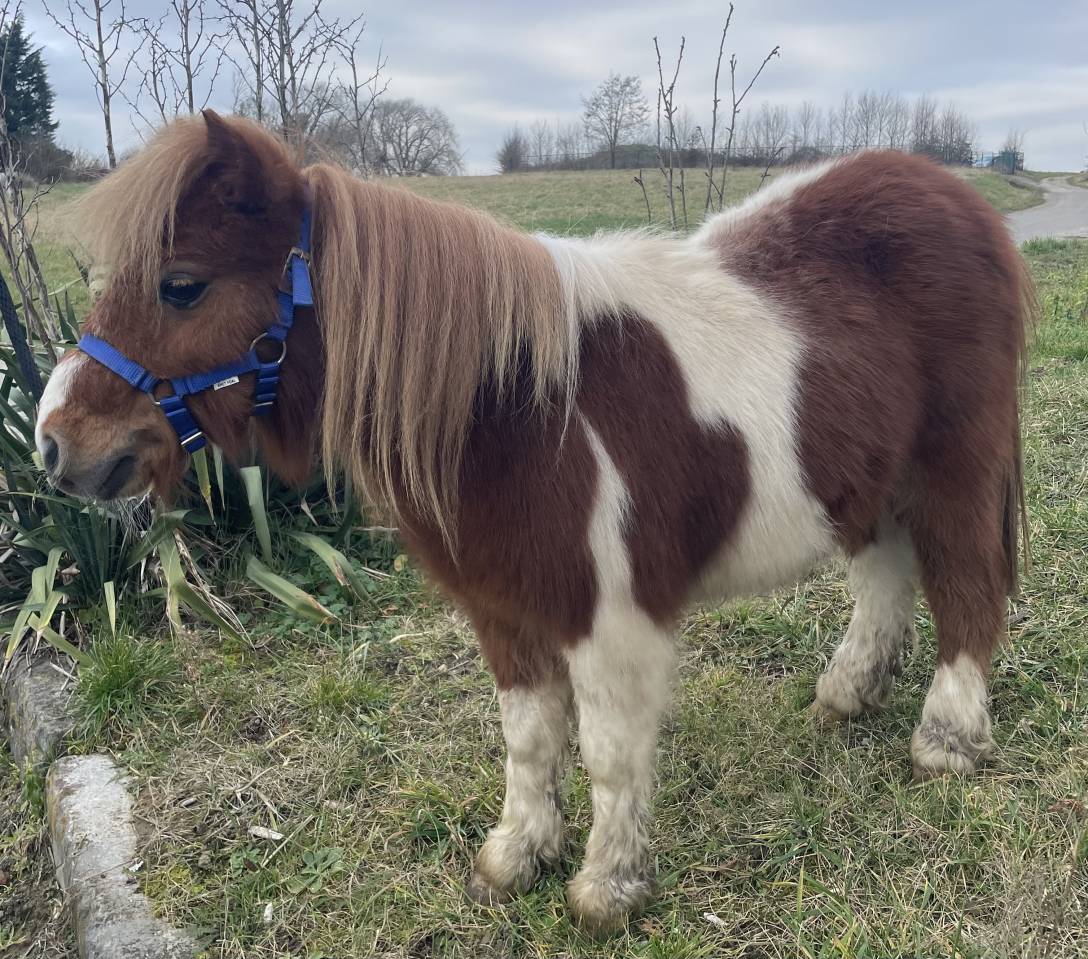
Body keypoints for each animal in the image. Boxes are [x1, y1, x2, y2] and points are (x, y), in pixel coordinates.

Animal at [35, 112, 1032, 930]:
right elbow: (528, 739)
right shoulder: (504, 612)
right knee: (885, 577)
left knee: (968, 586)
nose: (54, 442)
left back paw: (947, 739)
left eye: (182, 285)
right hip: (867, 482)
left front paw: (606, 888)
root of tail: (958, 200)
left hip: (955, 469)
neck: (512, 407)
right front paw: (516, 855)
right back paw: (848, 692)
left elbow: (610, 752)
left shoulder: (607, 619)